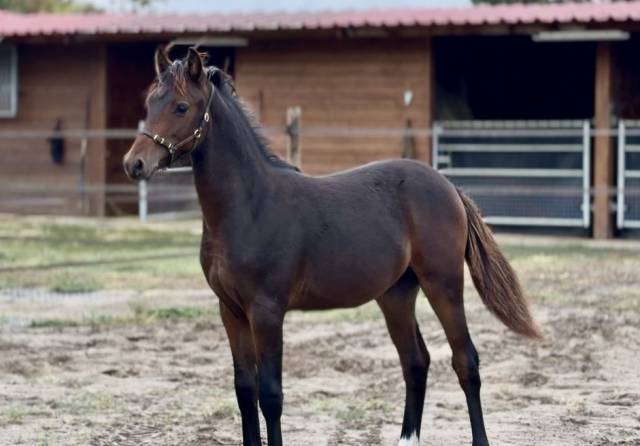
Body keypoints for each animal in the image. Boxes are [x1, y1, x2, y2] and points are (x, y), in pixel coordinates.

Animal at [123, 47, 542, 446]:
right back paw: (406, 438)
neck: (250, 205)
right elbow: (244, 391)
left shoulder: (267, 311)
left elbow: (270, 395)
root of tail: (448, 186)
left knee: (464, 360)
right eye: (150, 102)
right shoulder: (231, 311)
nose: (134, 164)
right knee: (415, 361)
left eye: (180, 106)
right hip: (396, 294)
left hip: (444, 284)